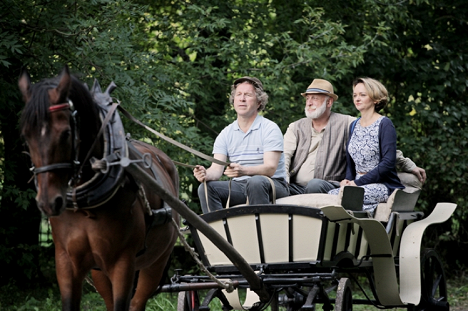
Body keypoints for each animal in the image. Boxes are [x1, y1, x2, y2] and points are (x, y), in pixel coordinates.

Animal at [18, 67, 179, 310]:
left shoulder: (124, 263)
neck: (86, 206)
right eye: (26, 134)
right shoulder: (66, 262)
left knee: (137, 302)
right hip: (99, 272)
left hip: (155, 262)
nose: (48, 202)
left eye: (66, 133)